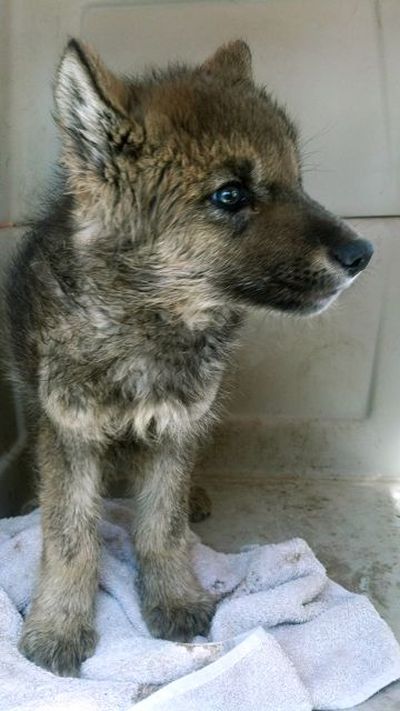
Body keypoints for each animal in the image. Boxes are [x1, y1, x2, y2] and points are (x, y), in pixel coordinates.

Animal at [5, 38, 373, 676]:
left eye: (298, 181)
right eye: (231, 194)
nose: (363, 253)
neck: (146, 326)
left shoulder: (177, 430)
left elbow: (162, 526)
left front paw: (174, 597)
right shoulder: (70, 436)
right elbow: (70, 538)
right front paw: (58, 627)